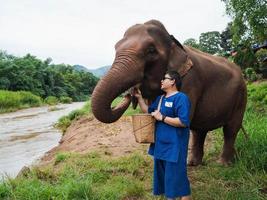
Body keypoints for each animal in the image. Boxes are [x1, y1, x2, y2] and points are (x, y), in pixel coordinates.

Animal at [91, 19, 248, 166]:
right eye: (115, 47)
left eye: (151, 50)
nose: (131, 93)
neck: (173, 43)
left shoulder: (190, 81)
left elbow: (182, 119)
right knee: (199, 131)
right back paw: (193, 163)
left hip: (241, 97)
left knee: (230, 130)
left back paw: (223, 164)